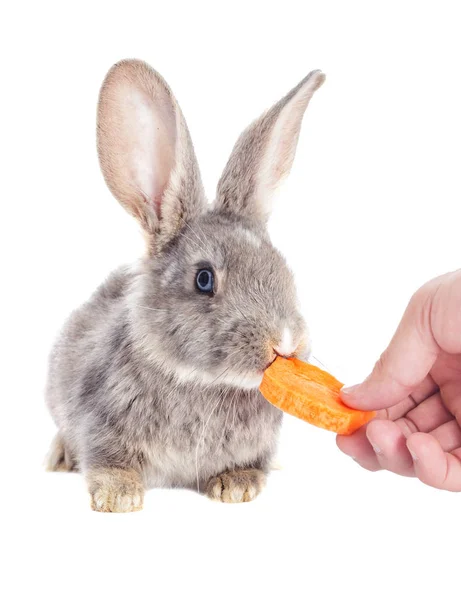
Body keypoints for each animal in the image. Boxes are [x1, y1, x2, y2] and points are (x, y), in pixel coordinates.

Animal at [43, 57, 324, 510]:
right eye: (204, 279)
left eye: (282, 268)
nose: (285, 342)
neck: (201, 382)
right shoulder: (99, 425)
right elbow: (107, 462)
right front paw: (118, 497)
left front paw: (237, 486)